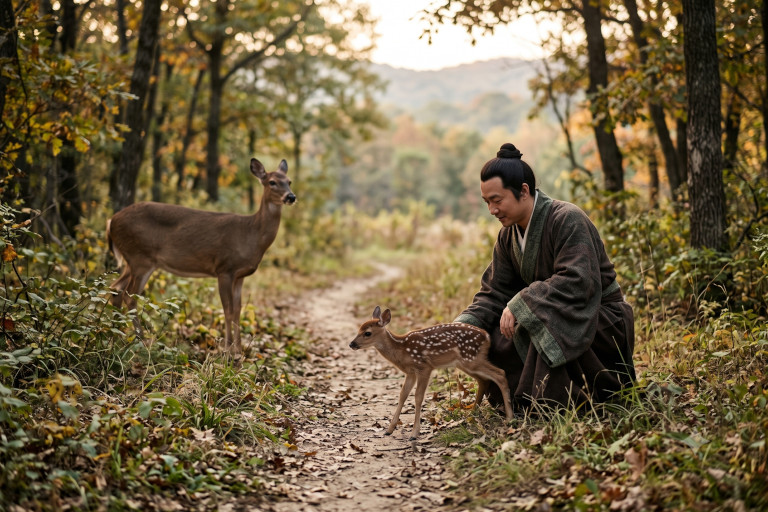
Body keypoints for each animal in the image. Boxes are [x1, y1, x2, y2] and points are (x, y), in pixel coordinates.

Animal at [106, 157, 296, 357]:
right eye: (272, 182)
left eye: (289, 181)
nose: (291, 197)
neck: (251, 234)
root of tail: (111, 221)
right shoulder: (224, 268)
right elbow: (228, 310)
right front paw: (227, 351)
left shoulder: (240, 275)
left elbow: (238, 310)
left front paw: (239, 351)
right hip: (140, 257)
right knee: (130, 297)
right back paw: (140, 341)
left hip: (132, 260)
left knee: (116, 288)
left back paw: (116, 336)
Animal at [350, 306, 514, 440]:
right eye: (358, 329)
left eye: (367, 333)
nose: (352, 344)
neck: (402, 350)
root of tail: (487, 337)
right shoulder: (410, 372)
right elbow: (402, 395)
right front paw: (389, 429)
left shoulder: (424, 367)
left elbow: (418, 397)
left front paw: (414, 434)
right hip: (465, 363)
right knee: (484, 380)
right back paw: (473, 413)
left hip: (471, 359)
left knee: (500, 373)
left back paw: (510, 418)